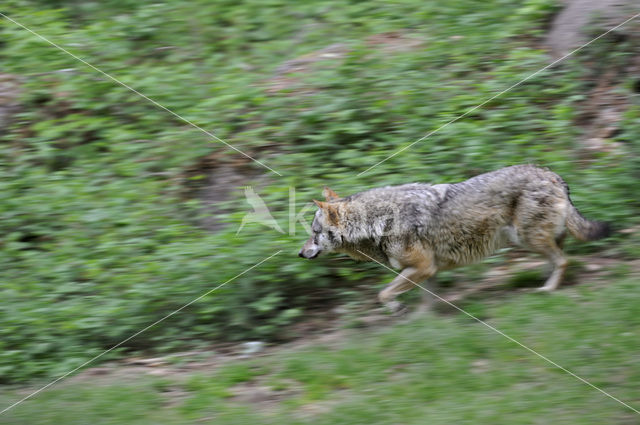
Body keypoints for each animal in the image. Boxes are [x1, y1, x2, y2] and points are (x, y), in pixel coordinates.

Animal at [298, 165, 612, 312]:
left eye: (313, 234)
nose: (300, 254)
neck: (377, 222)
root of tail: (553, 174)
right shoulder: (427, 270)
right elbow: (426, 301)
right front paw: (423, 321)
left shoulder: (422, 267)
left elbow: (383, 293)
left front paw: (398, 309)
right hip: (529, 240)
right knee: (558, 258)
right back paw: (545, 285)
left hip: (528, 238)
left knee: (562, 260)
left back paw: (548, 290)